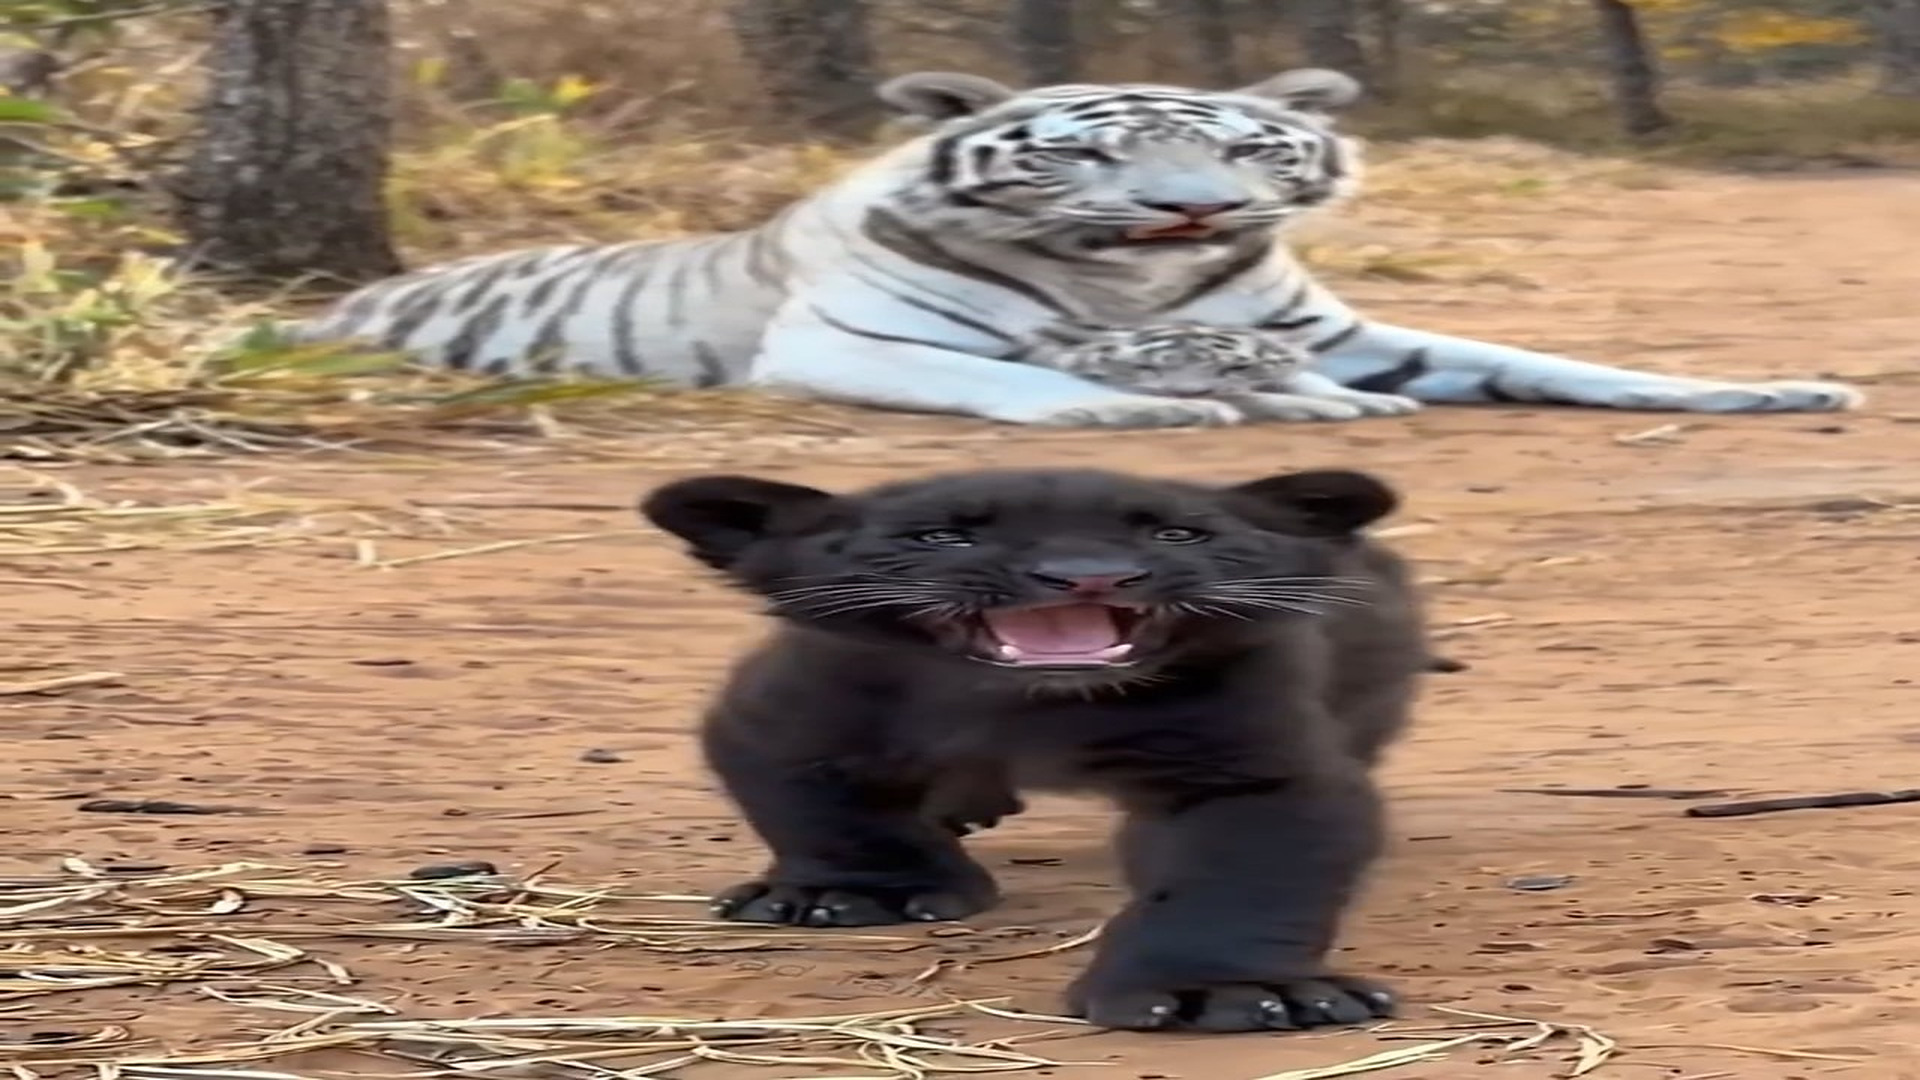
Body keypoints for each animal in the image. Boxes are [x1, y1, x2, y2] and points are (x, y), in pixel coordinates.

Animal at [1019, 314, 1422, 422]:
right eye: (1146, 367)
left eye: (1236, 368)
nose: (1187, 393)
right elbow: (1250, 398)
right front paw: (1316, 407)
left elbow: (1308, 377)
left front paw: (1371, 399)